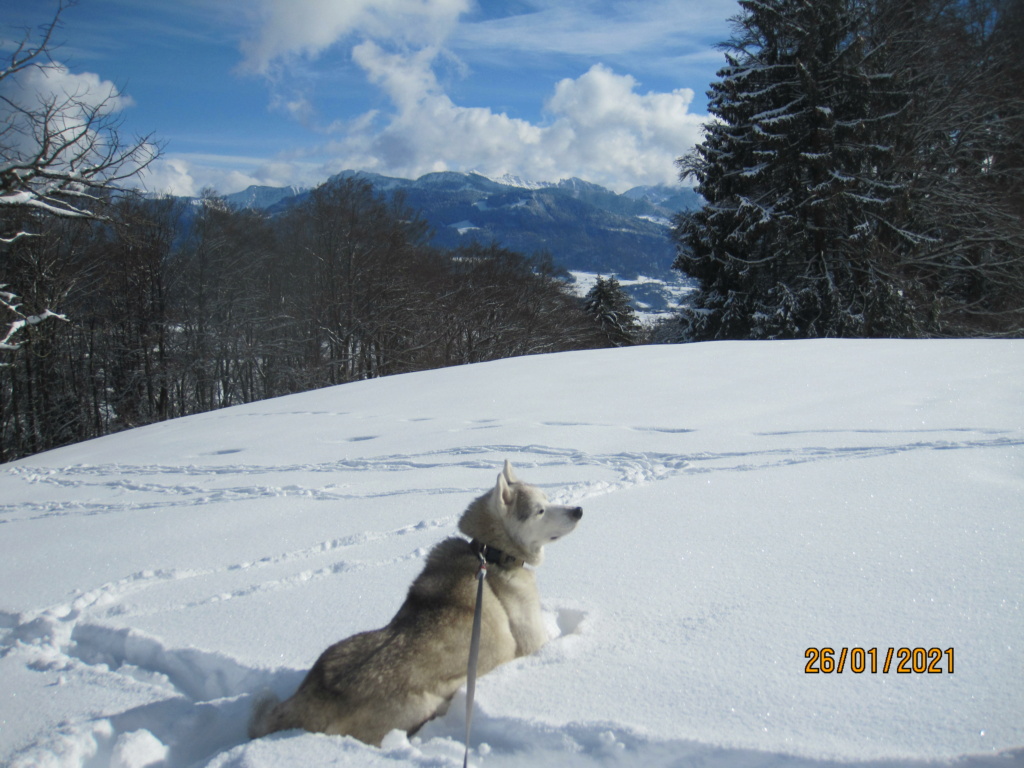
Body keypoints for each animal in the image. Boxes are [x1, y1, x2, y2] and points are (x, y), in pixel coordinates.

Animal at [247, 462, 581, 745]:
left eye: (548, 499)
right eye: (540, 510)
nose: (578, 509)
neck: (492, 555)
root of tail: (311, 702)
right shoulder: (532, 642)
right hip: (419, 705)